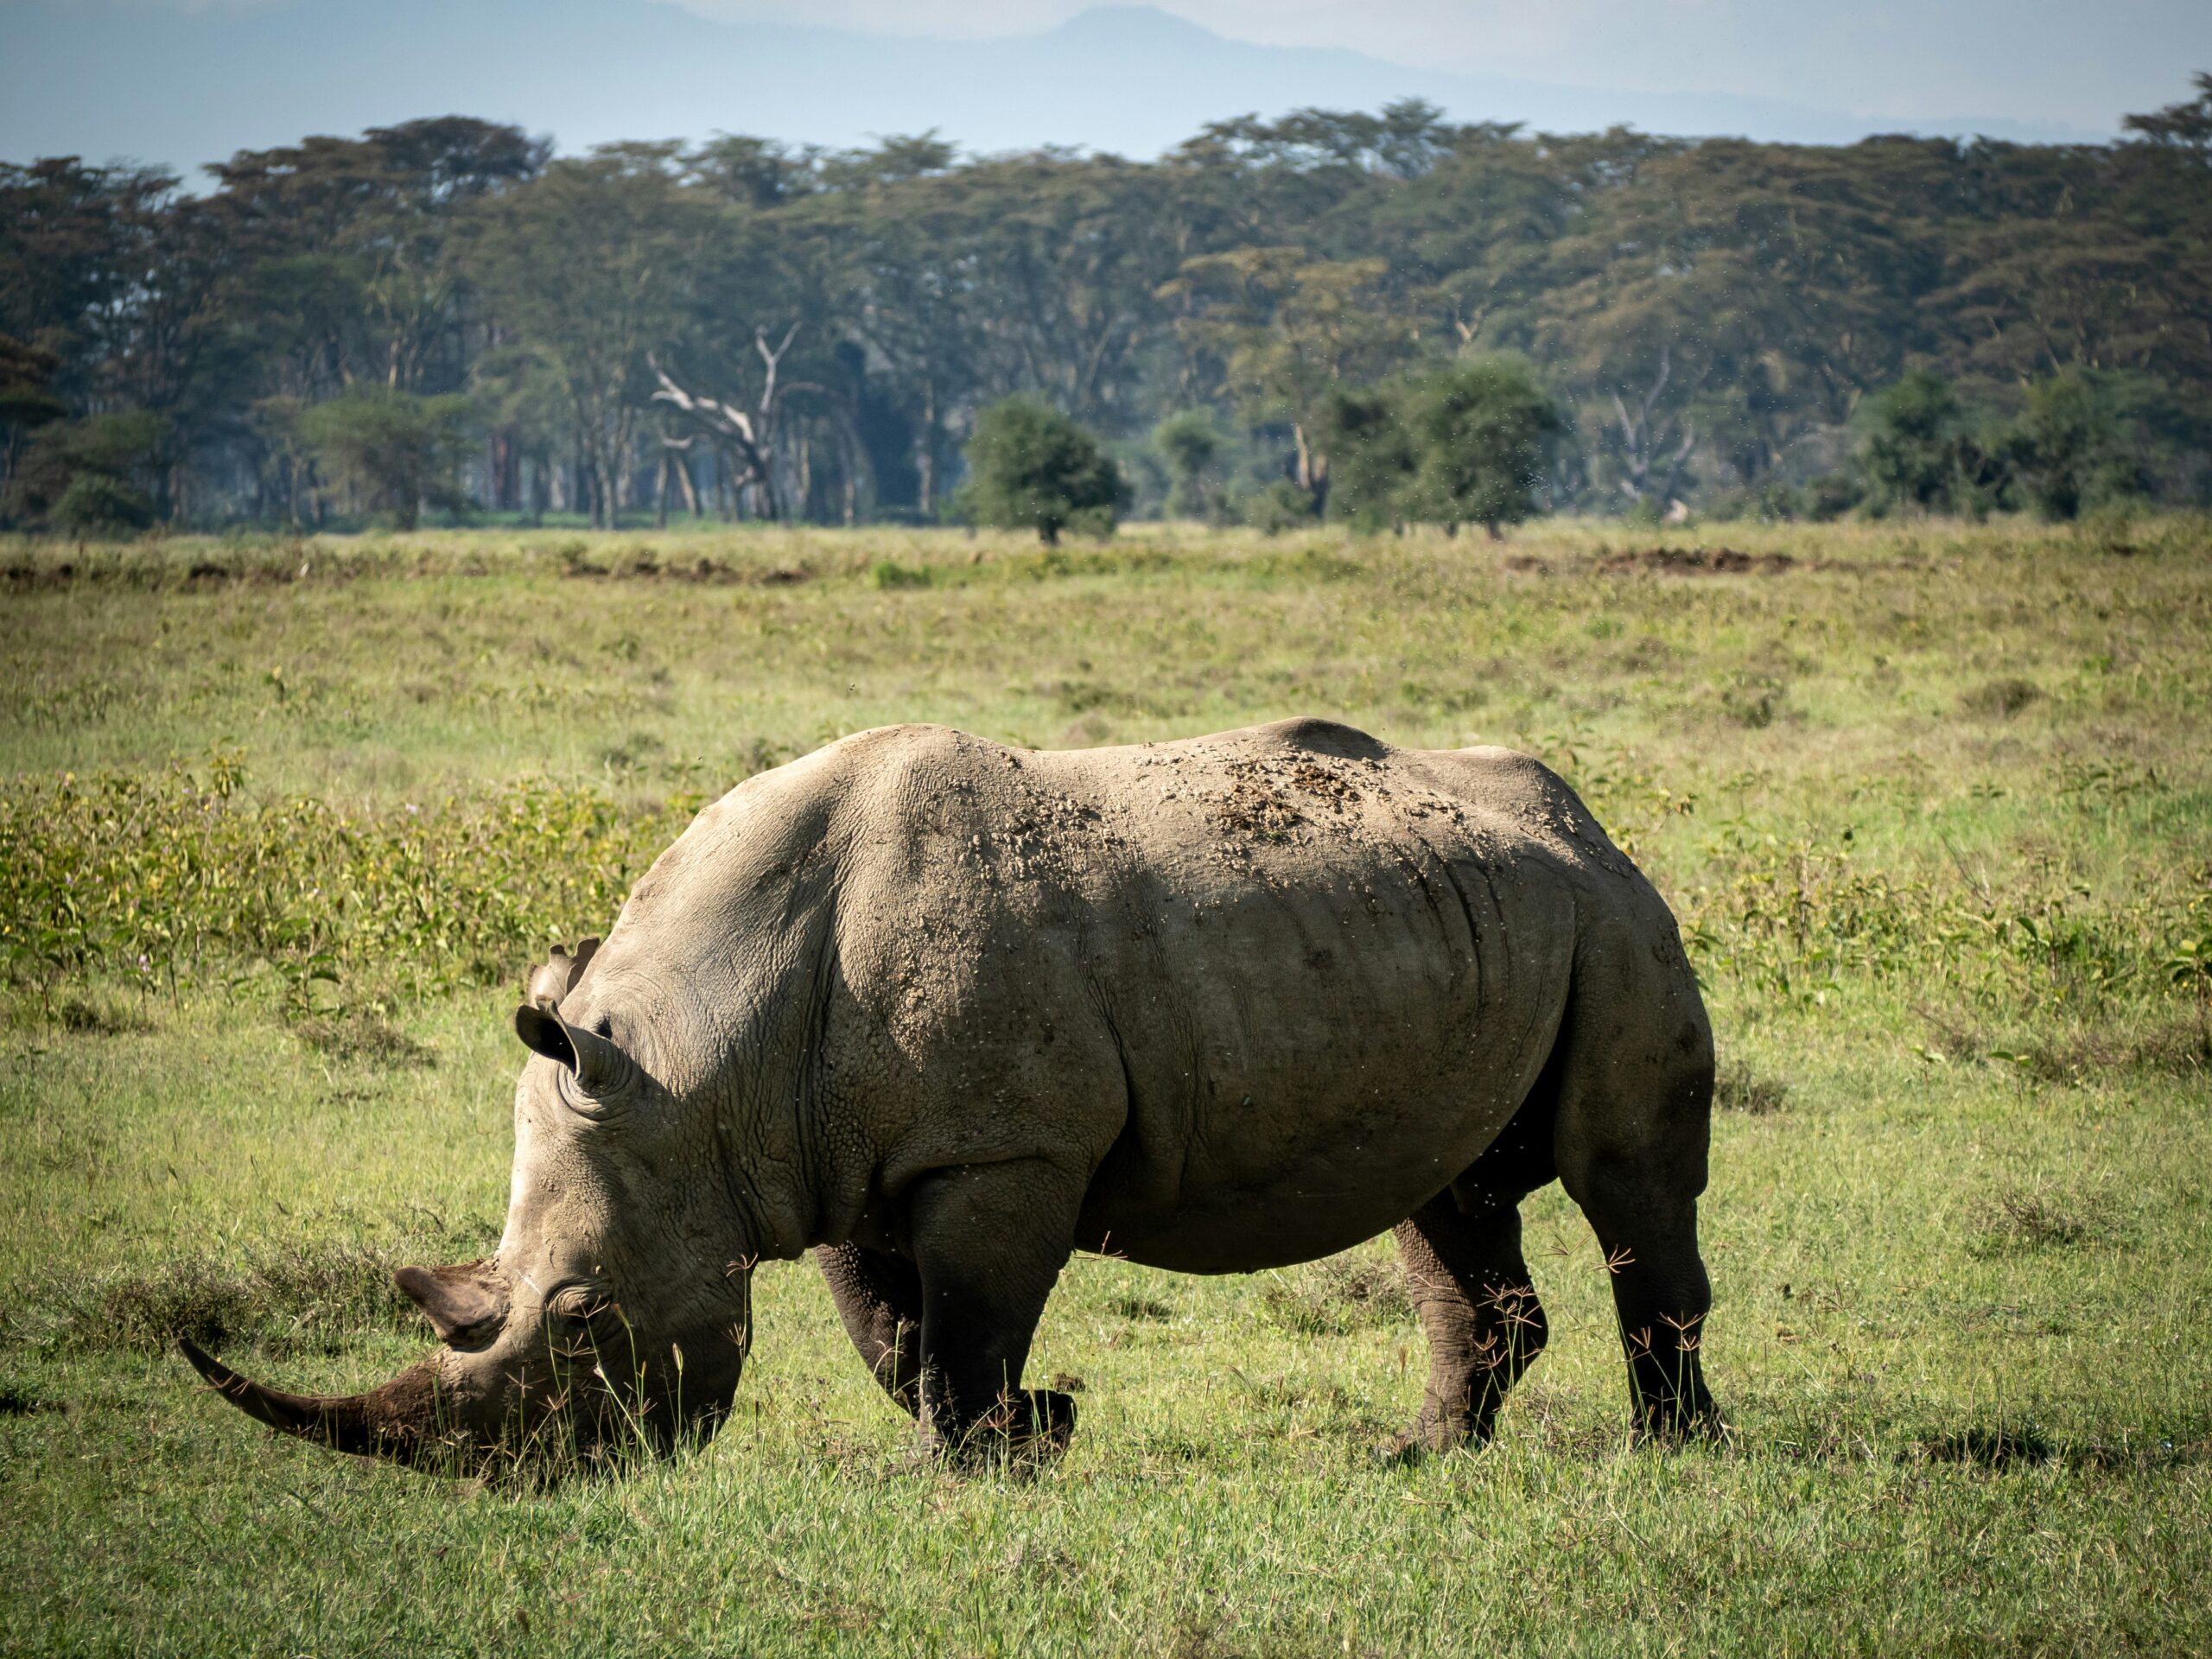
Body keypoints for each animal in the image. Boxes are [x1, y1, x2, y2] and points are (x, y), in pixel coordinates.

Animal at [181, 718, 1719, 1469]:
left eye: (579, 1320)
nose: (532, 1480)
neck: (695, 1064)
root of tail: (1587, 818)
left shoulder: (1001, 1152)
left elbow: (969, 1320)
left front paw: (983, 1458)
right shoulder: (821, 1155)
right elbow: (893, 1336)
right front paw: (1025, 1437)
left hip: (1615, 918)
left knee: (1622, 1181)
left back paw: (1671, 1460)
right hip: (1466, 921)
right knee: (1445, 1196)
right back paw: (1422, 1459)